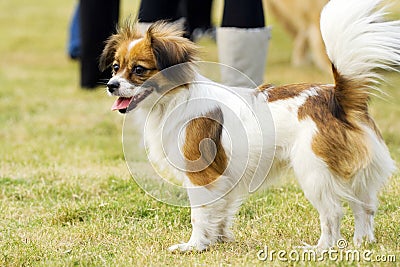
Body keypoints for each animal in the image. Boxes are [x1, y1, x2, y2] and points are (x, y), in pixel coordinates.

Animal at [100, 0, 396, 252]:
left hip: (314, 173)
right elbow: (220, 212)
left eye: (139, 70)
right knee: (364, 207)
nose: (111, 85)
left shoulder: (200, 176)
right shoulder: (223, 179)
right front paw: (217, 240)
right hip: (354, 173)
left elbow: (199, 215)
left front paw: (194, 246)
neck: (174, 99)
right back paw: (362, 242)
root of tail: (336, 97)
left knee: (333, 212)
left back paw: (322, 248)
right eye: (115, 67)